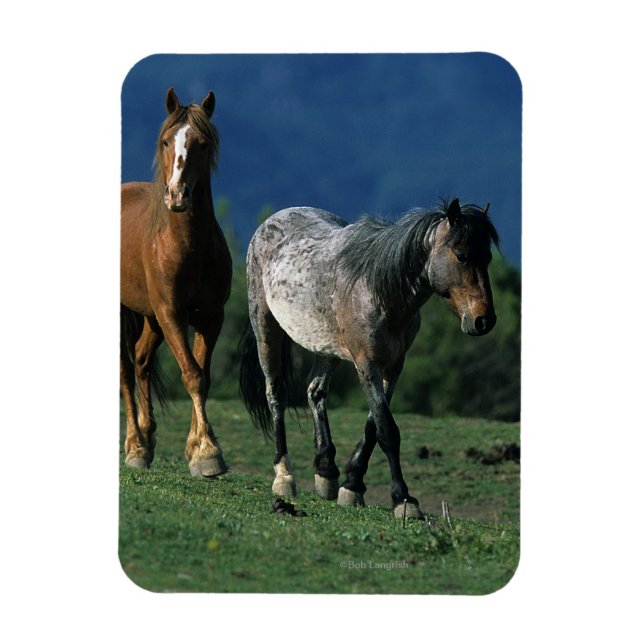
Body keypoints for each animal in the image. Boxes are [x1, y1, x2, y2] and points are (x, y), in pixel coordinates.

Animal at [120, 87, 232, 478]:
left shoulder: (210, 317)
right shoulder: (171, 314)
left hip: (151, 318)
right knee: (125, 370)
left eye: (202, 143)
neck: (188, 247)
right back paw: (136, 445)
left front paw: (197, 448)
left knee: (140, 360)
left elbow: (203, 376)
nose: (177, 195)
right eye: (167, 141)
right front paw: (208, 452)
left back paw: (146, 439)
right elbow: (192, 374)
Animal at [239, 198, 498, 517]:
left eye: (487, 257)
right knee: (276, 394)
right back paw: (284, 478)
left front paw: (352, 486)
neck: (378, 289)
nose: (483, 320)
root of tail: (272, 221)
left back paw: (326, 471)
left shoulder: (393, 367)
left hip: (326, 347)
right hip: (265, 328)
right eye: (461, 255)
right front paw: (403, 500)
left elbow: (373, 427)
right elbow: (387, 430)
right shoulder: (367, 365)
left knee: (315, 390)